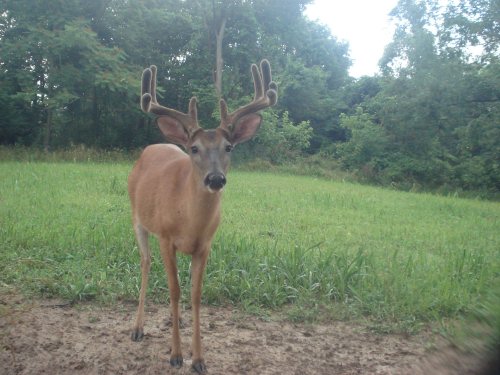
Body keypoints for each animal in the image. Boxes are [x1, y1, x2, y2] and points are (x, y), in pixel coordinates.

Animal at [127, 60, 278, 374]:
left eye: (229, 147)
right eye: (194, 148)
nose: (216, 178)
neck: (189, 221)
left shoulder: (205, 245)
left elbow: (195, 294)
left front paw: (198, 359)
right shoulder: (166, 238)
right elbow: (174, 290)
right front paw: (175, 354)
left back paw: (177, 319)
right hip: (138, 219)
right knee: (146, 263)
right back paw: (137, 328)